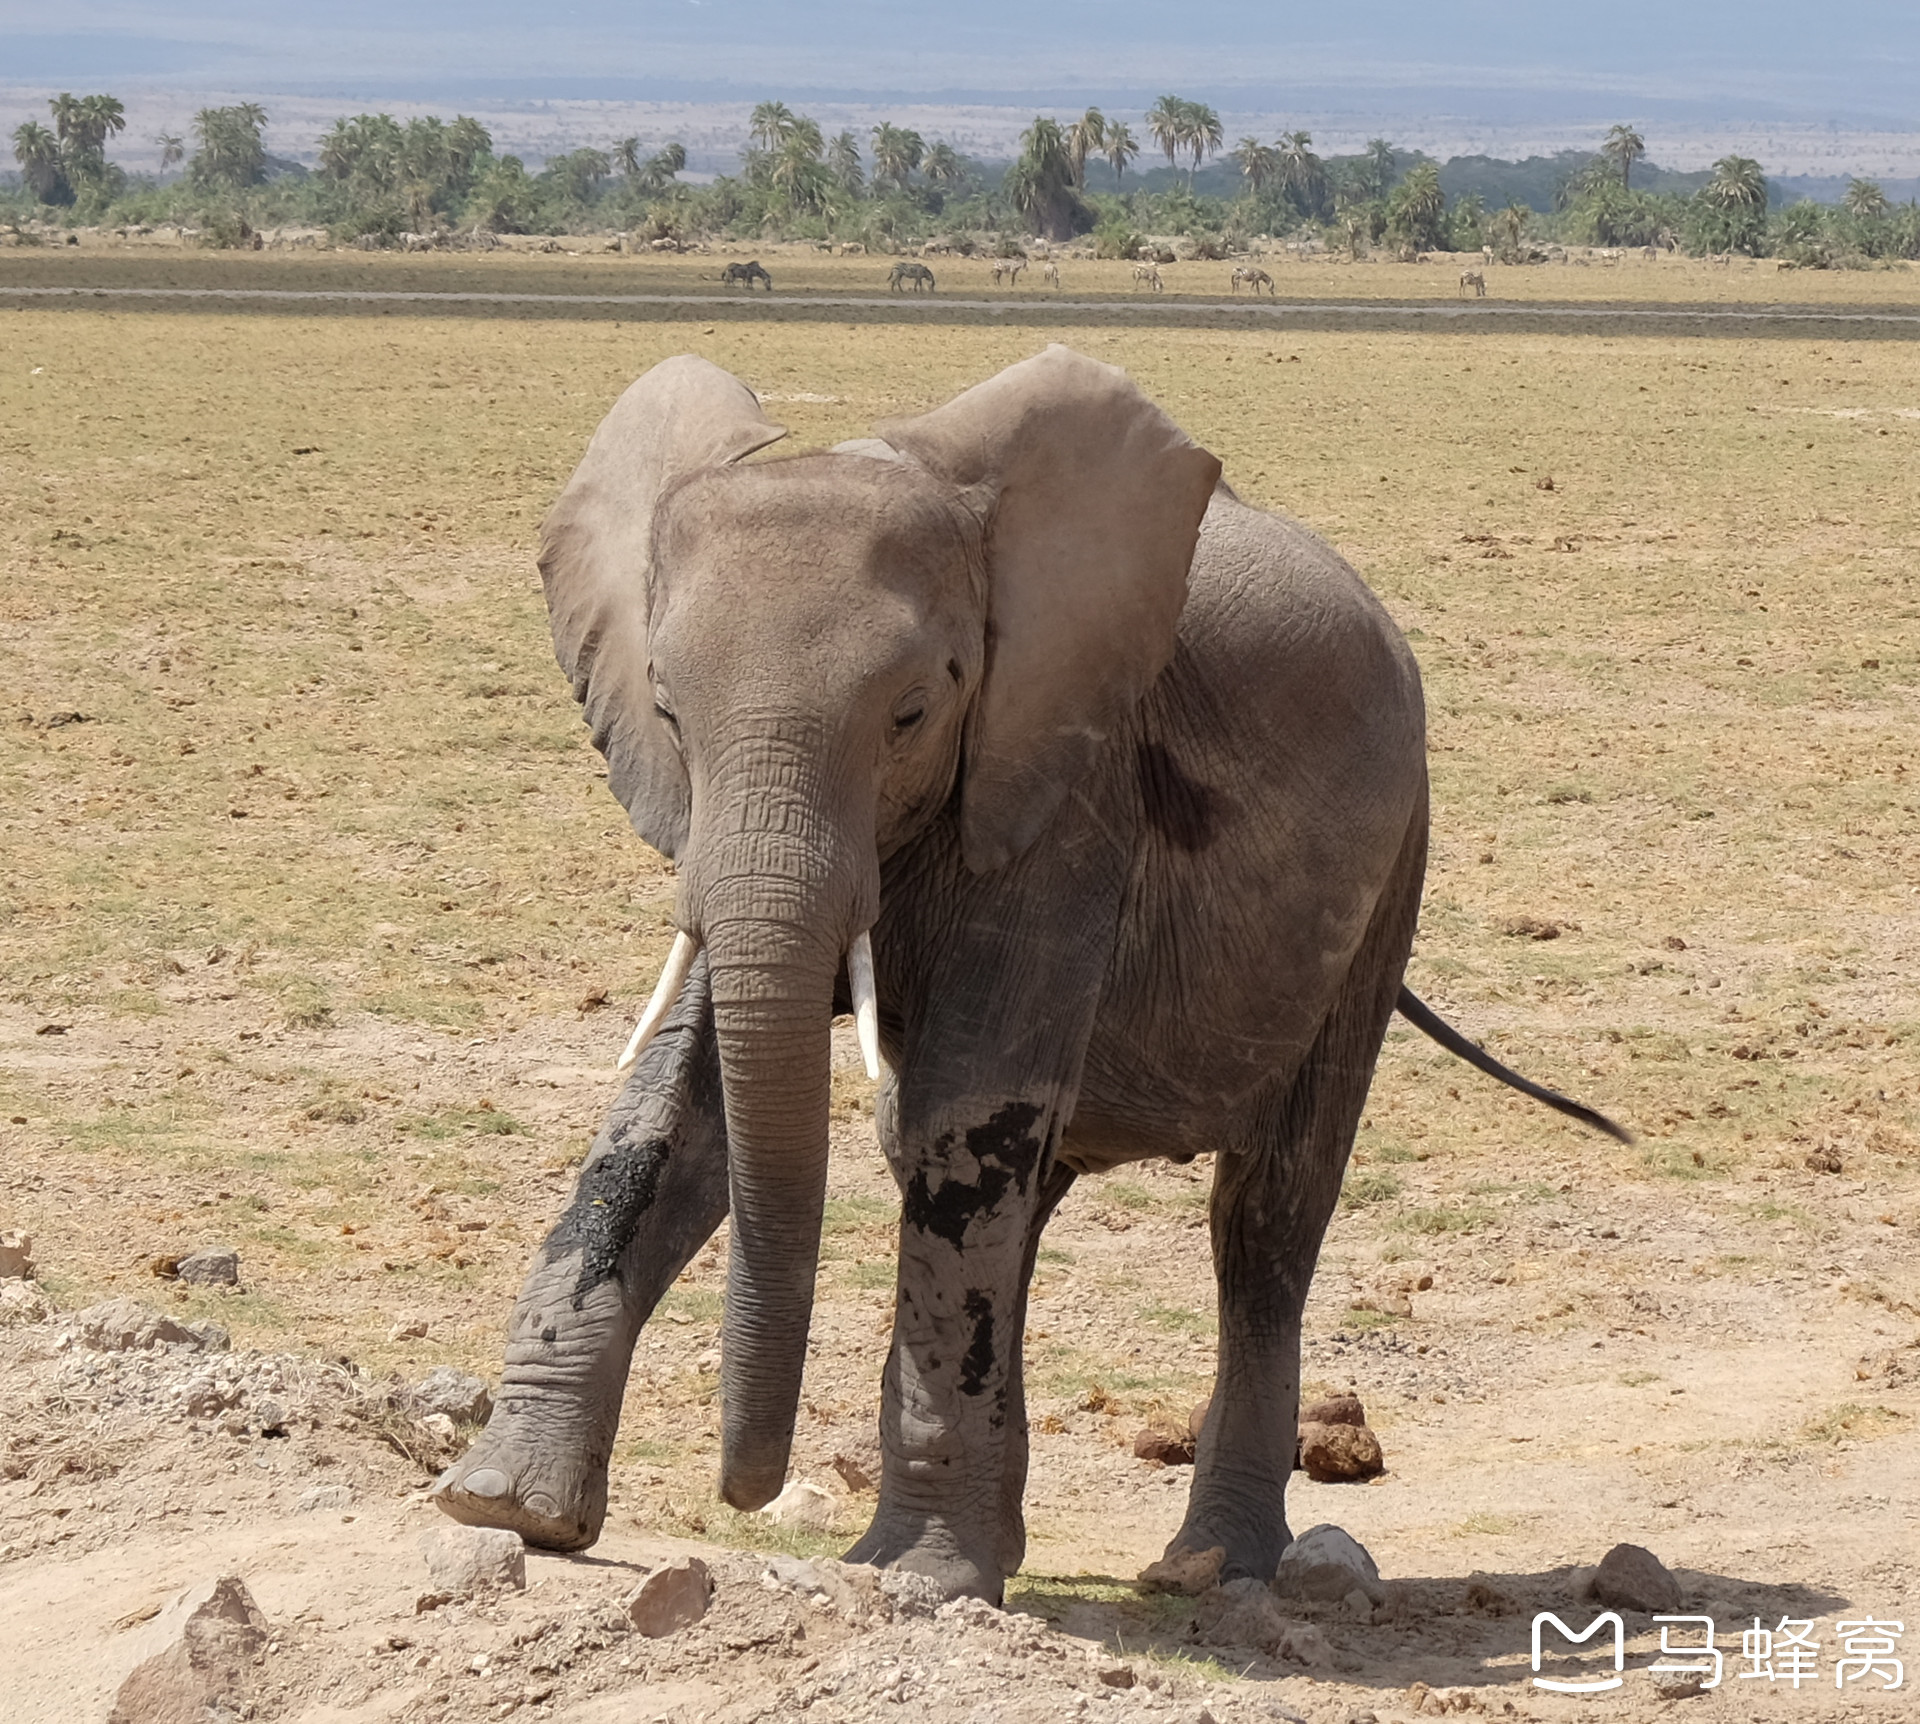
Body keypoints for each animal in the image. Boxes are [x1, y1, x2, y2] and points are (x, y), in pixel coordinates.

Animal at [432, 345, 1620, 1597]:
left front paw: (915, 1579)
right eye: (664, 708)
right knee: (1024, 1188)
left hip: (1392, 873)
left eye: (913, 712)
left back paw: (1206, 1565)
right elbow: (679, 1114)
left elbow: (962, 1111)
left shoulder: (1069, 792)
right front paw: (503, 1507)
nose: (742, 1495)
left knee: (1262, 1219)